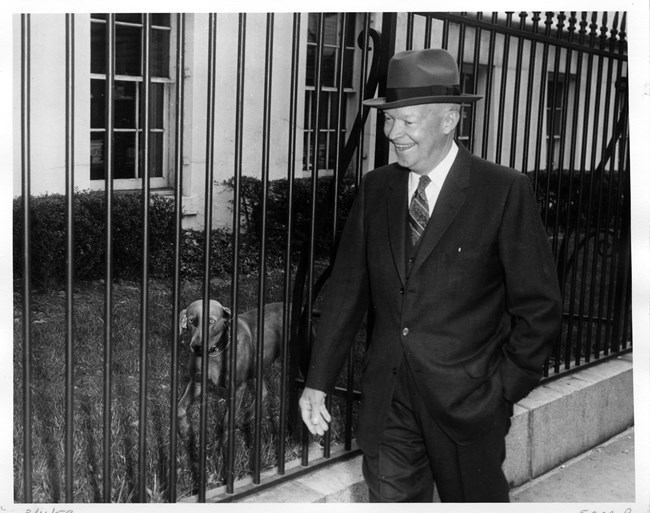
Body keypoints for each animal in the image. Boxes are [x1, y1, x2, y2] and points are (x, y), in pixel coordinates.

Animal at [176, 298, 282, 446]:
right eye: (191, 321)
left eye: (211, 321)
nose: (196, 347)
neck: (215, 353)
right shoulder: (197, 382)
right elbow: (179, 408)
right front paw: (186, 431)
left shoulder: (238, 388)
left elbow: (227, 422)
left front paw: (219, 447)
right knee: (263, 391)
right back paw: (247, 417)